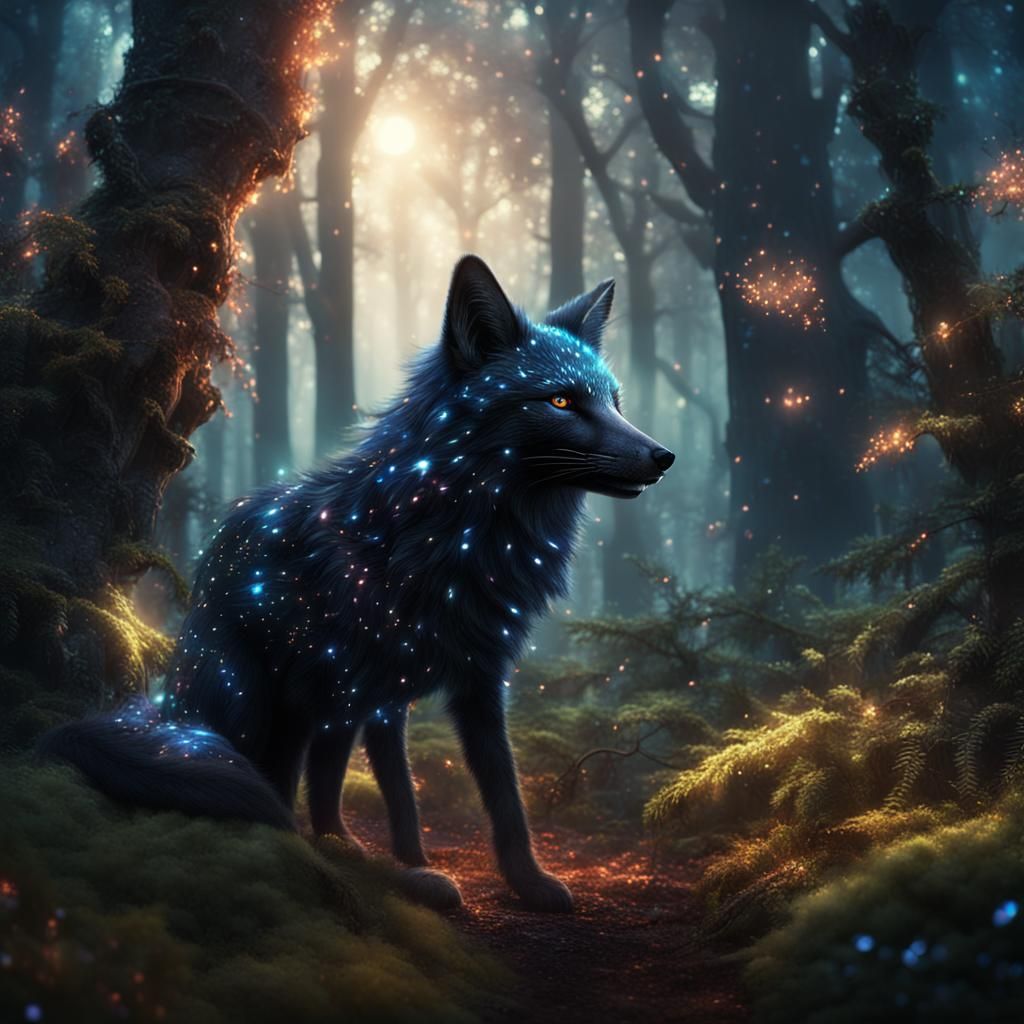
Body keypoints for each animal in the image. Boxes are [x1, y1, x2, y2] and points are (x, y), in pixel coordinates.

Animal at [41, 255, 675, 913]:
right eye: (561, 400)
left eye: (614, 401)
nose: (663, 456)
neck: (455, 534)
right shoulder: (379, 689)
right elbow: (400, 795)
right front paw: (416, 872)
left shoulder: (477, 678)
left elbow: (504, 791)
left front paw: (527, 881)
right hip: (256, 701)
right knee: (255, 774)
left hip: (320, 707)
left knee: (305, 780)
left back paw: (338, 848)